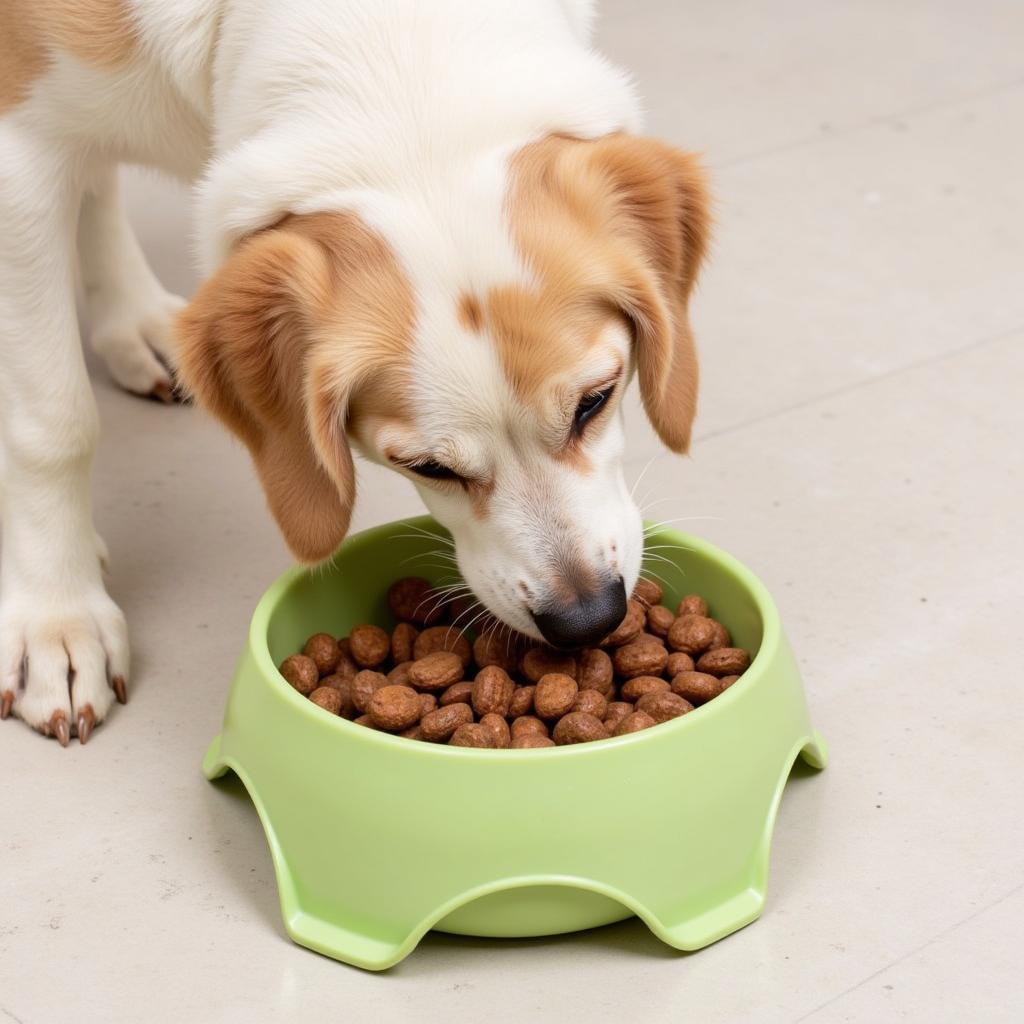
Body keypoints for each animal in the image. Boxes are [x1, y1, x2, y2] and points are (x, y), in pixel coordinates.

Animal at [0, 0, 708, 741]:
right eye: (428, 468)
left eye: (596, 400)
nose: (587, 619)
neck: (397, 39)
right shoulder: (20, 156)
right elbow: (54, 423)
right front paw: (56, 616)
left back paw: (134, 318)